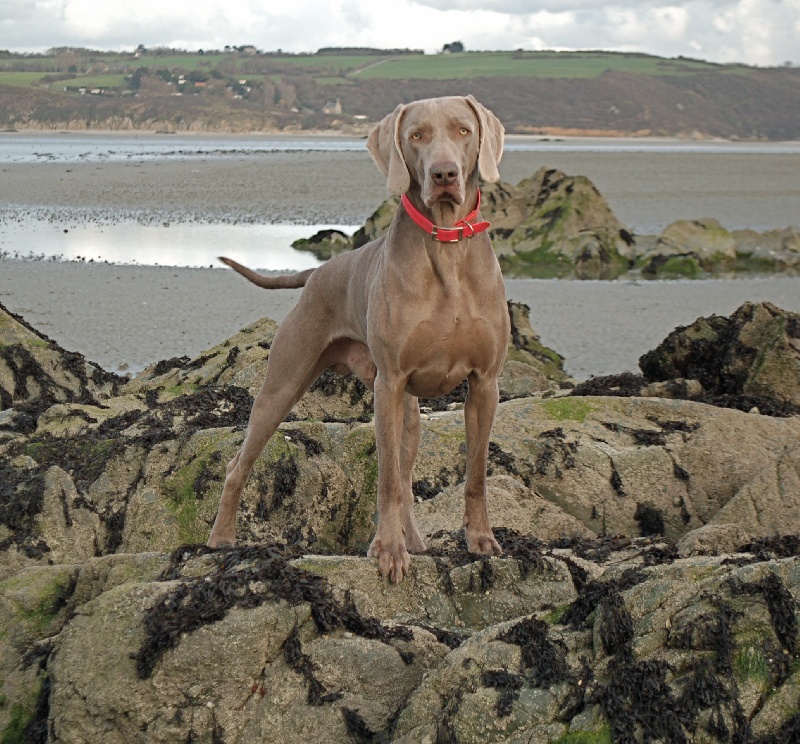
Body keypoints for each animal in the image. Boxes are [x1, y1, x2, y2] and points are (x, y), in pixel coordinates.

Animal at [208, 95, 508, 582]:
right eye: (416, 135)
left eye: (464, 130)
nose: (444, 174)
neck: (446, 246)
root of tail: (317, 272)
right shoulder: (389, 384)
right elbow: (385, 481)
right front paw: (387, 551)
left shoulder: (485, 384)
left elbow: (476, 475)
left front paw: (481, 540)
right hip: (283, 386)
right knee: (239, 465)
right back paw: (220, 539)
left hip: (412, 416)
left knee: (406, 479)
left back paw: (417, 541)